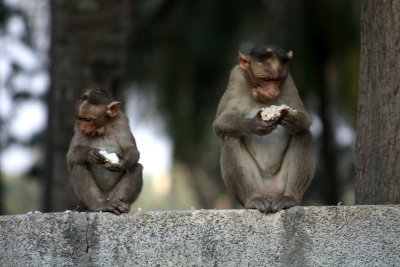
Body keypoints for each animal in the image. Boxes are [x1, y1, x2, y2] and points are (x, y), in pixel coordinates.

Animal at [214, 45, 314, 214]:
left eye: (278, 79)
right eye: (266, 79)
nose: (273, 92)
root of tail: (270, 191)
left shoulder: (289, 82)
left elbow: (305, 119)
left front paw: (293, 120)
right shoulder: (236, 78)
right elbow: (221, 122)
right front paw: (256, 124)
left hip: (280, 185)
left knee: (303, 135)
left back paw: (290, 199)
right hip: (257, 186)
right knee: (230, 138)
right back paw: (253, 199)